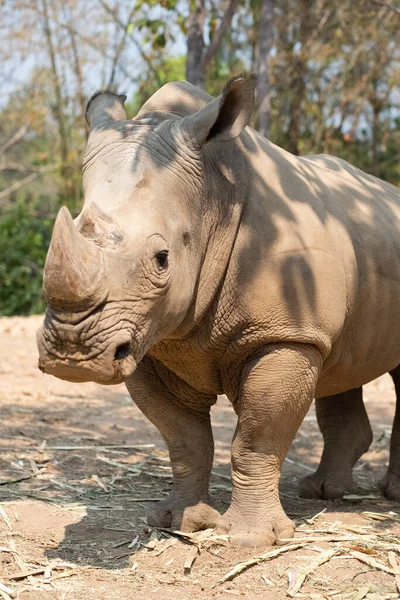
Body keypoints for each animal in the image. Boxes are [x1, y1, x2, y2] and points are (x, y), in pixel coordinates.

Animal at [36, 76, 400, 548]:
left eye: (162, 260)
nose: (72, 354)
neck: (212, 196)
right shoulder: (147, 339)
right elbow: (184, 439)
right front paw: (178, 521)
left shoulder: (284, 334)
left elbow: (256, 439)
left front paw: (247, 539)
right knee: (340, 364)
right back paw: (323, 492)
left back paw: (384, 495)